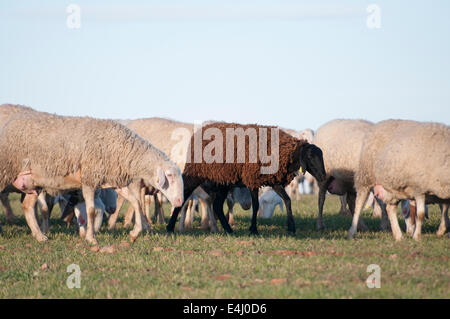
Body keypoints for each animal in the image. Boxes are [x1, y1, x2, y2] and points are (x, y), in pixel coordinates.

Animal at [0, 110, 184, 245]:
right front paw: (91, 238)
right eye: (169, 176)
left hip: (33, 181)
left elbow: (136, 203)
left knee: (27, 206)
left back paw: (40, 236)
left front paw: (134, 233)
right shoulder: (89, 179)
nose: (179, 202)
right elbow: (90, 210)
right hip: (5, 170)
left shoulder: (114, 181)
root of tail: (12, 121)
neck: (125, 150)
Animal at [165, 122, 326, 235]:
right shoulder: (252, 179)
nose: (323, 176)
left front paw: (291, 228)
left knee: (217, 205)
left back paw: (229, 230)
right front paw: (253, 229)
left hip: (223, 181)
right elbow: (256, 205)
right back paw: (170, 227)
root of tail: (199, 132)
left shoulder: (273, 181)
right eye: (310, 156)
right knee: (185, 196)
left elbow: (287, 200)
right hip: (195, 174)